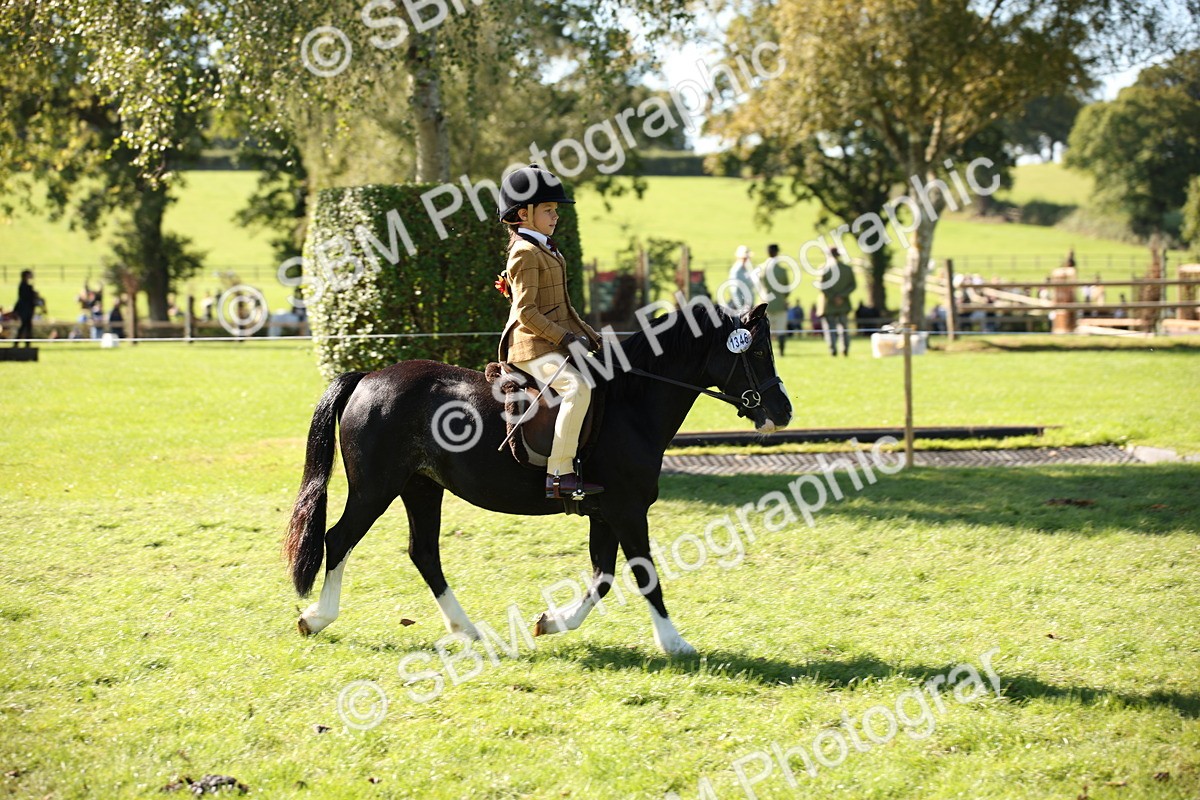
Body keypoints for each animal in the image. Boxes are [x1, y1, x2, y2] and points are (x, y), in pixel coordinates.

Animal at [283, 301, 793, 655]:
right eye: (757, 351)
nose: (783, 412)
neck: (631, 403)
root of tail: (369, 377)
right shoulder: (627, 510)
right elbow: (644, 574)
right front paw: (675, 643)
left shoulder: (605, 513)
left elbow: (603, 577)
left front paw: (551, 622)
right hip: (377, 488)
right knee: (339, 538)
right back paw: (317, 618)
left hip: (421, 488)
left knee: (423, 553)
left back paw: (467, 629)